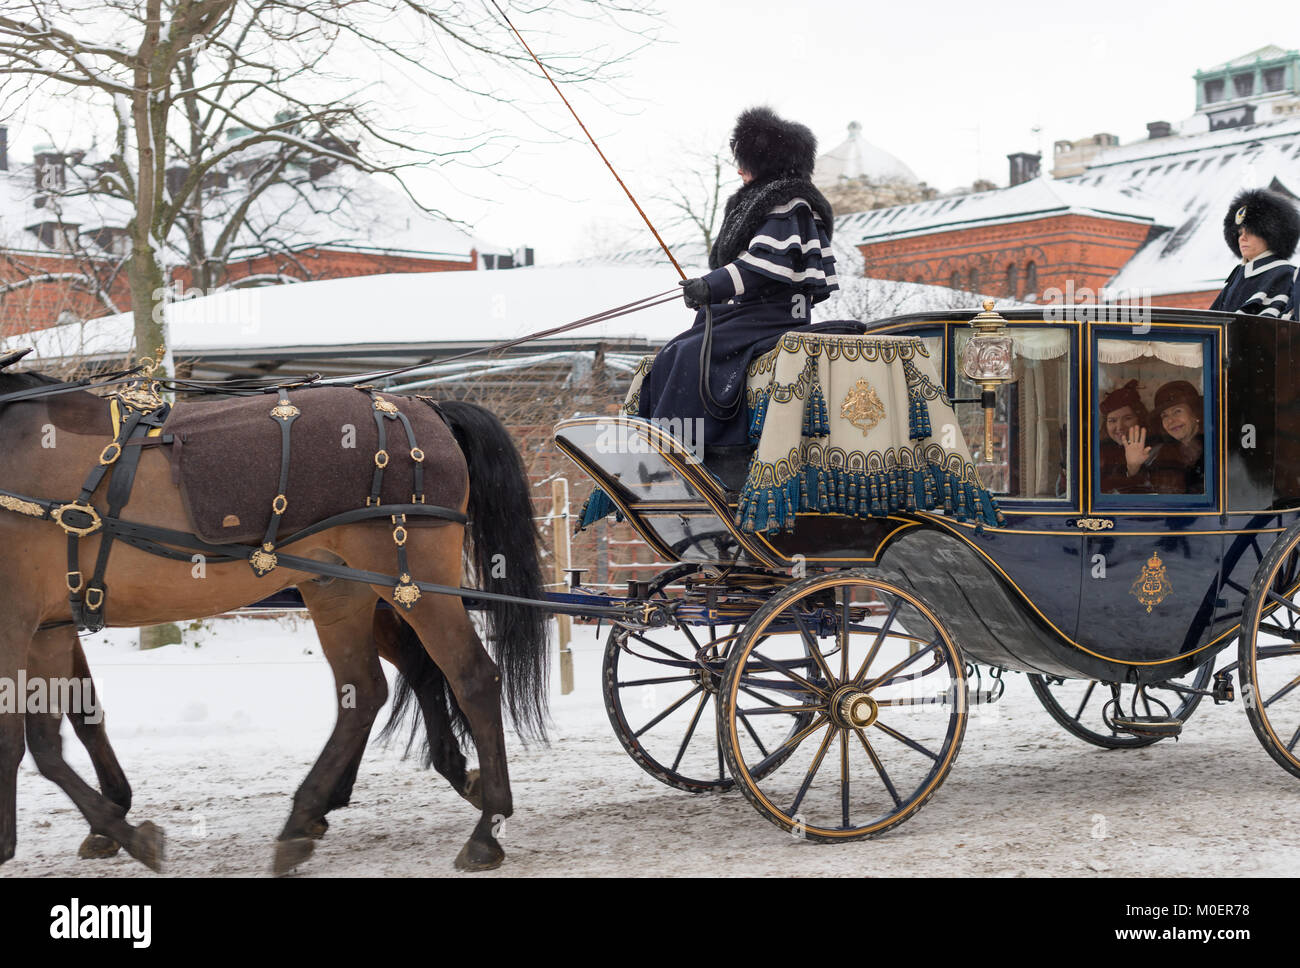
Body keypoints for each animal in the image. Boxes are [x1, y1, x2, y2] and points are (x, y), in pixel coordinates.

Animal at [0, 358, 546, 873]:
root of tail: (427, 408)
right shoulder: (48, 627)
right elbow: (57, 732)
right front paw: (108, 821)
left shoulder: (18, 624)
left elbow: (21, 739)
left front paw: (109, 832)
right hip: (340, 588)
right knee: (368, 690)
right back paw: (306, 818)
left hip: (410, 583)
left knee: (471, 677)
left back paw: (486, 830)